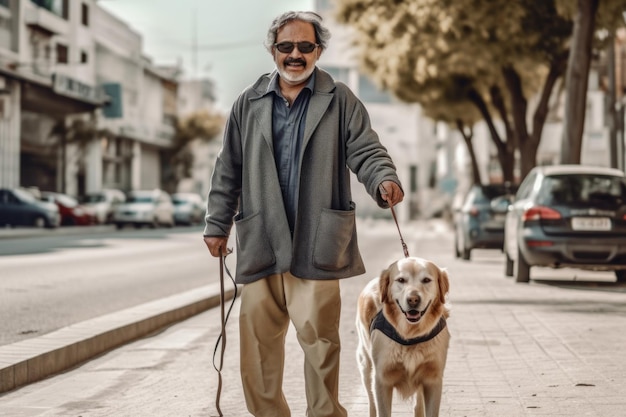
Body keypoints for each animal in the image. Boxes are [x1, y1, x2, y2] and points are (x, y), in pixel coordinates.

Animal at [356, 256, 448, 416]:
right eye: (401, 280)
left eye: (426, 280)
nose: (413, 300)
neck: (411, 334)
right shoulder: (382, 379)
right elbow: (382, 410)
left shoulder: (433, 379)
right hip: (366, 365)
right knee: (371, 402)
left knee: (418, 404)